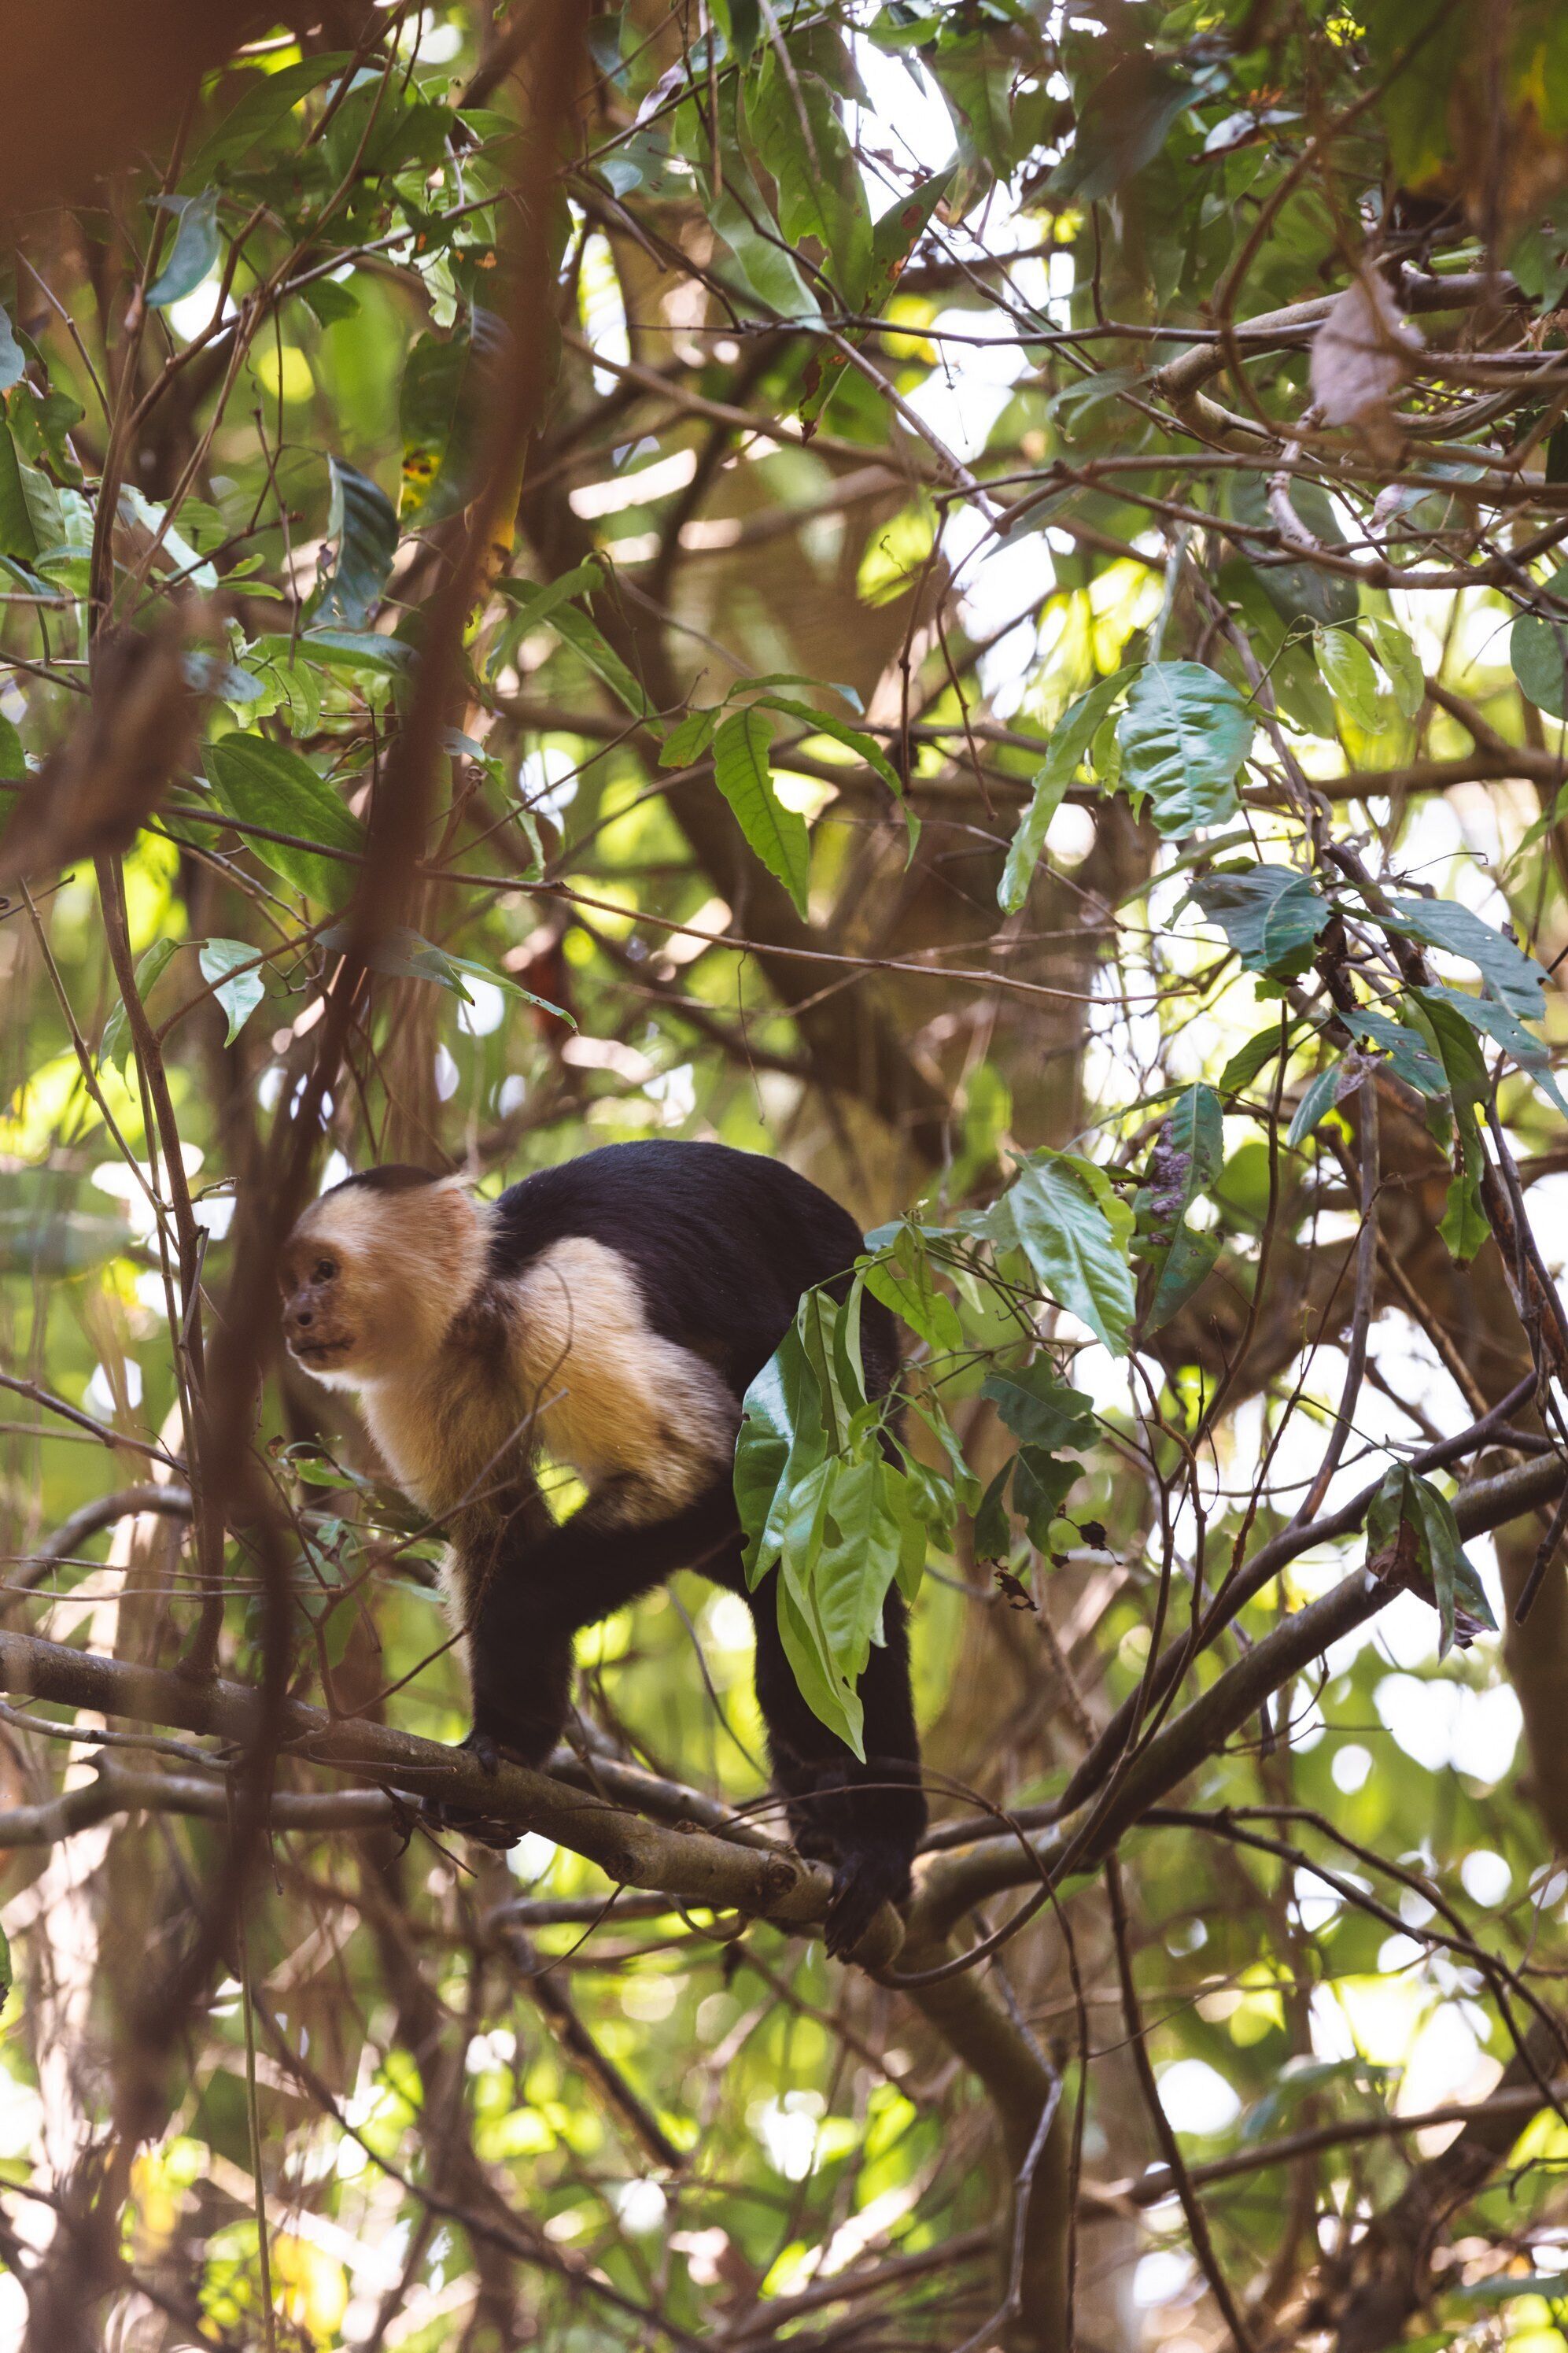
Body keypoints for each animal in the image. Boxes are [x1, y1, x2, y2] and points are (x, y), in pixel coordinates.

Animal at [278, 1140, 926, 1956]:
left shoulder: (566, 1298)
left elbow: (701, 1469)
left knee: (816, 1569)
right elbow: (491, 1524)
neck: (487, 1295)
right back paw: (822, 1828)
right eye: (292, 1279)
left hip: (853, 1334)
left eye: (325, 1270)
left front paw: (512, 1655)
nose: (294, 1316)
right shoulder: (424, 1375)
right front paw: (511, 1743)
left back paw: (879, 1845)